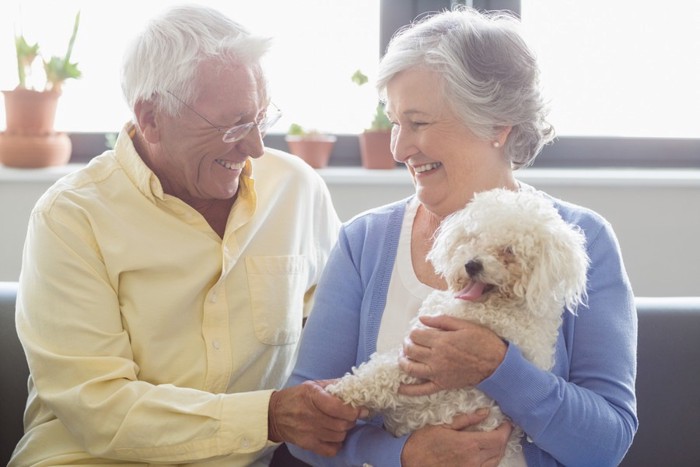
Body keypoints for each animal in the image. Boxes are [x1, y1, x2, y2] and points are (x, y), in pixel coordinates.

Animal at [326, 188, 588, 466]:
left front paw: (342, 392)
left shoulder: (422, 360)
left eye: (509, 251)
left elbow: (380, 374)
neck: (498, 306)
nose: (472, 264)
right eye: (473, 237)